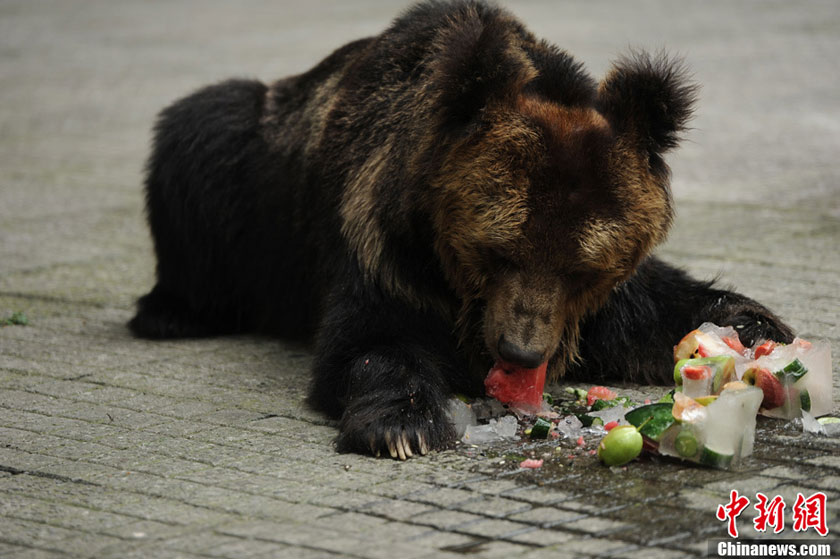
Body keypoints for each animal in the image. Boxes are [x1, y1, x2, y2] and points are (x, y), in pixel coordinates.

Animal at [128, 0, 792, 460]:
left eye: (582, 268)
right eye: (497, 251)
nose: (521, 350)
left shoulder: (597, 299)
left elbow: (655, 308)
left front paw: (757, 329)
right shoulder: (379, 241)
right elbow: (368, 342)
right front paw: (403, 425)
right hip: (246, 170)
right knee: (202, 127)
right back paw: (171, 312)